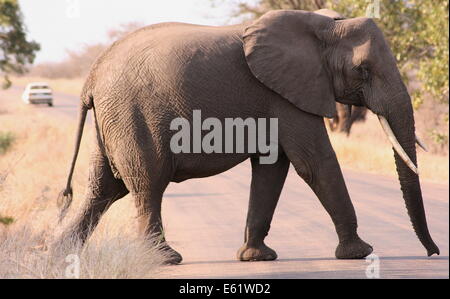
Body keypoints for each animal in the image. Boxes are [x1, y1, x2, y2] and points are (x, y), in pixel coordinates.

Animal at [56, 8, 440, 264]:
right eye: (363, 70)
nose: (433, 252)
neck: (326, 25)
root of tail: (91, 78)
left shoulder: (281, 94)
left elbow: (273, 168)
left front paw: (256, 257)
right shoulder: (285, 94)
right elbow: (314, 162)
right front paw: (360, 253)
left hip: (113, 121)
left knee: (103, 189)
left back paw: (59, 255)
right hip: (132, 118)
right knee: (147, 184)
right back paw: (166, 259)